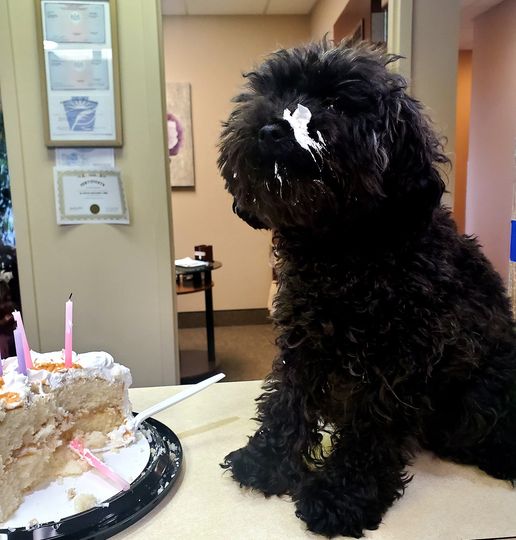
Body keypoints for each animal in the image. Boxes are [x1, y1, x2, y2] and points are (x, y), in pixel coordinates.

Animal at [217, 41, 516, 536]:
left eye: (337, 103)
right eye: (271, 93)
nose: (271, 129)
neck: (340, 251)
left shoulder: (397, 360)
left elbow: (370, 430)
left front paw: (342, 496)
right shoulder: (303, 338)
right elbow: (286, 402)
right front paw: (266, 460)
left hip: (479, 392)